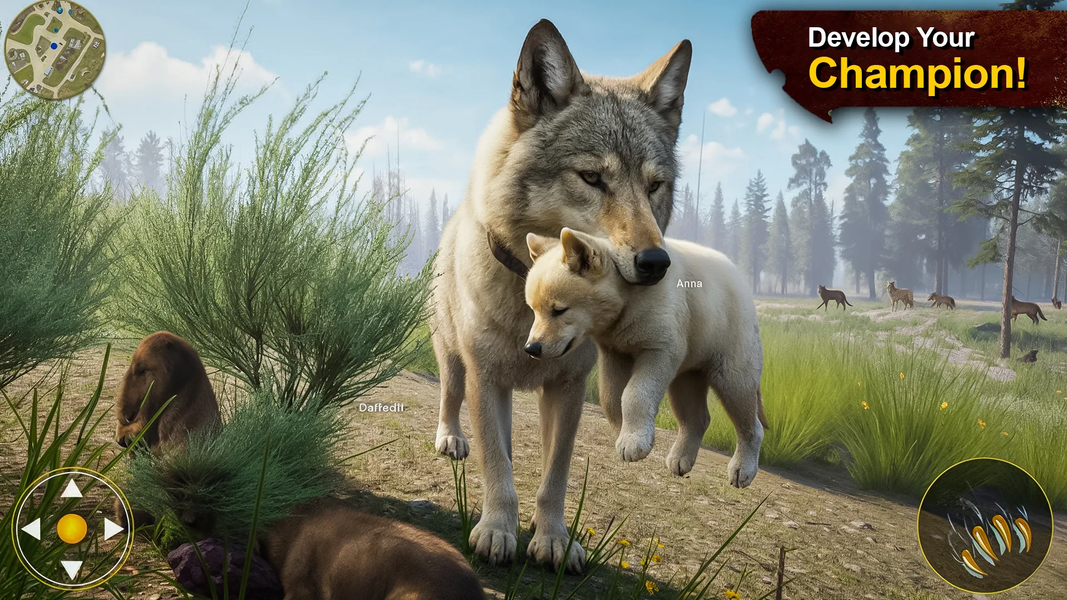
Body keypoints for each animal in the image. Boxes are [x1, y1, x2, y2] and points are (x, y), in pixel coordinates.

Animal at [430, 19, 691, 572]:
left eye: (654, 187)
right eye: (592, 177)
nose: (656, 264)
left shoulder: (568, 388)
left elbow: (555, 476)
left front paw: (552, 540)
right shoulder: (488, 381)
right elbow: (498, 464)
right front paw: (497, 530)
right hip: (453, 360)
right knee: (451, 397)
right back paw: (451, 439)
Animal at [523, 229, 769, 484]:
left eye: (559, 310)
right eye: (534, 309)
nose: (533, 347)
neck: (628, 297)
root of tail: (738, 276)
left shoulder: (661, 339)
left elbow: (637, 391)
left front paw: (633, 444)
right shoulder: (615, 346)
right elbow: (610, 396)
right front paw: (626, 433)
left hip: (730, 345)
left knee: (741, 399)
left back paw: (742, 469)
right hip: (691, 358)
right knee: (693, 409)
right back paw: (680, 460)